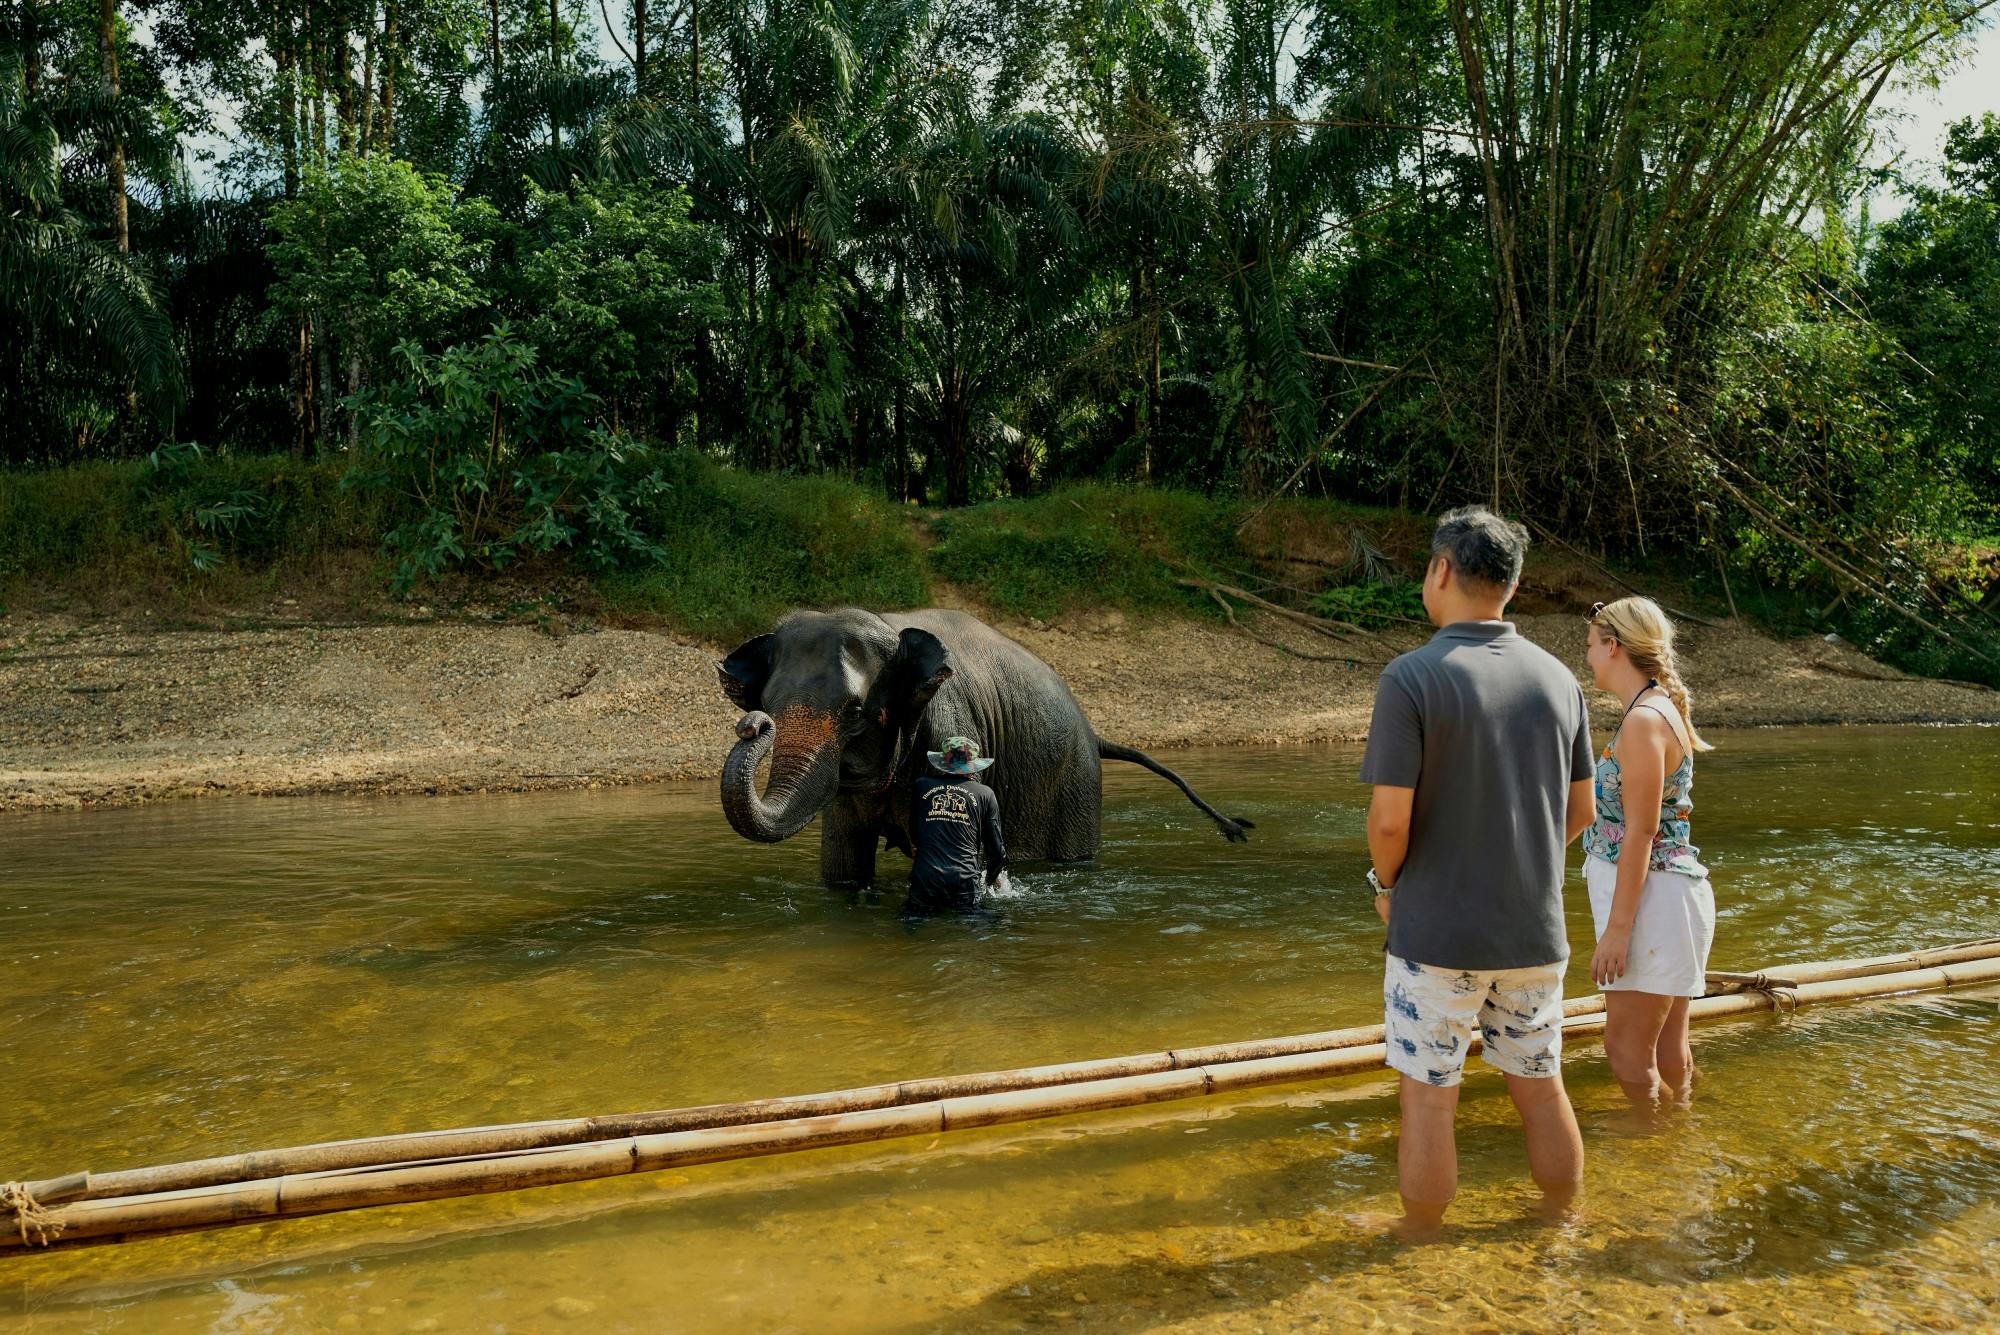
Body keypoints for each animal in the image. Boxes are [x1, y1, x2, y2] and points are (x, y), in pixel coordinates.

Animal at [717, 607, 1252, 887]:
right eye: (768, 703)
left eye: (854, 712)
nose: (754, 725)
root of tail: (1092, 731)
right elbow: (843, 866)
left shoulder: (951, 730)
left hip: (1075, 783)